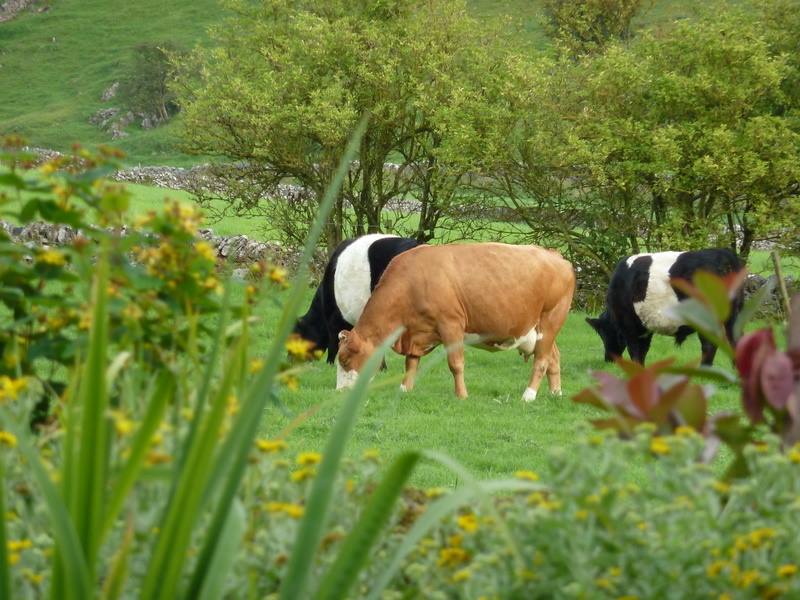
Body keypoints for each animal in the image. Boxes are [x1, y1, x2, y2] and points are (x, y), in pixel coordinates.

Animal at [336, 241, 576, 400]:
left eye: (345, 360)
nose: (340, 392)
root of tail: (555, 256)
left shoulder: (451, 325)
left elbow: (455, 364)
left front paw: (462, 395)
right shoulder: (416, 331)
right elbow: (411, 363)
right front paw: (405, 389)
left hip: (551, 320)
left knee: (542, 360)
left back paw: (529, 395)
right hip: (539, 329)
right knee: (554, 357)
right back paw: (555, 393)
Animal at [584, 248, 748, 366]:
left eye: (604, 334)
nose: (609, 359)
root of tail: (723, 253)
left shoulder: (629, 324)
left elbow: (635, 350)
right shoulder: (644, 326)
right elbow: (643, 350)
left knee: (709, 344)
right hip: (734, 314)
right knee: (736, 339)